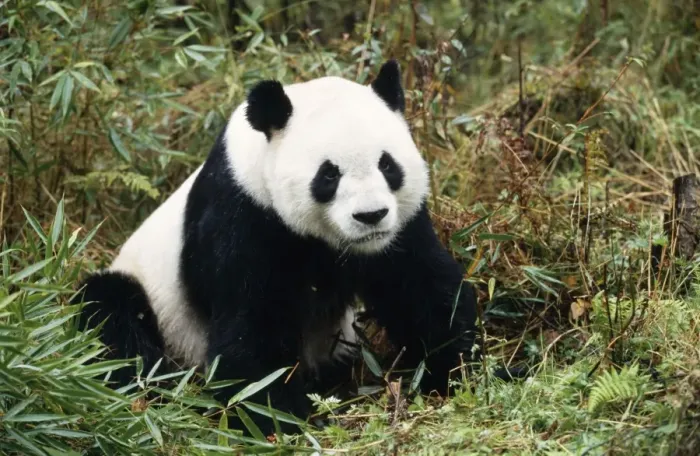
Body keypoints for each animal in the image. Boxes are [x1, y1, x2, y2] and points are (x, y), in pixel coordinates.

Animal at [74, 60, 487, 435]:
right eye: (328, 174)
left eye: (387, 165)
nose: (370, 216)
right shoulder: (244, 216)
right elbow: (252, 324)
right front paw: (278, 418)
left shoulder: (400, 228)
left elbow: (423, 290)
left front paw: (461, 372)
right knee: (111, 317)